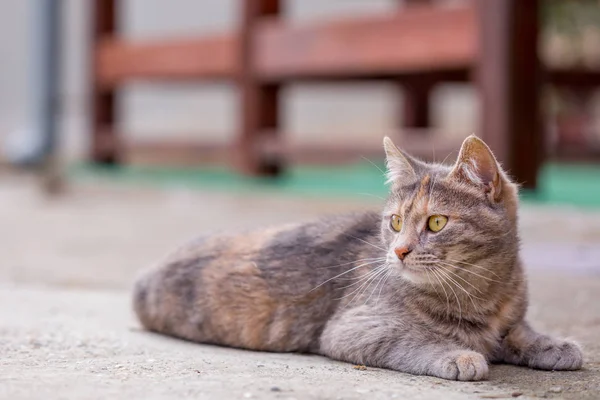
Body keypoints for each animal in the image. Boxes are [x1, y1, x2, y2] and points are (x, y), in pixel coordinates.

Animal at [132, 136, 580, 380]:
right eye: (395, 222)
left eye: (436, 222)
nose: (399, 250)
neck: (481, 291)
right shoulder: (353, 327)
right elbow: (416, 339)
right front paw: (456, 353)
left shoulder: (509, 313)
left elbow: (519, 330)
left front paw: (552, 344)